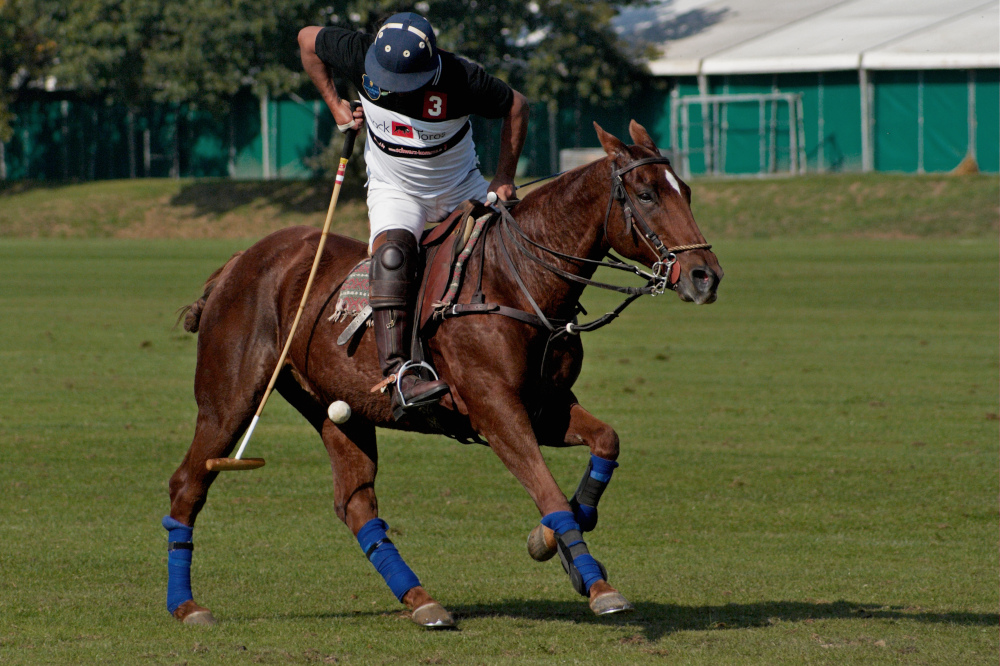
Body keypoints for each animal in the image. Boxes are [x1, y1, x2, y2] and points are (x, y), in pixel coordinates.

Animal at [166, 120, 728, 628]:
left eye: (687, 191)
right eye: (646, 194)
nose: (707, 277)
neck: (520, 282)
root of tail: (237, 262)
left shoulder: (545, 407)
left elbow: (605, 443)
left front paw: (553, 541)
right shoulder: (495, 410)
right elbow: (548, 493)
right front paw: (595, 583)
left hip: (336, 409)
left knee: (356, 501)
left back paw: (422, 601)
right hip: (230, 398)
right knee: (188, 483)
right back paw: (188, 607)